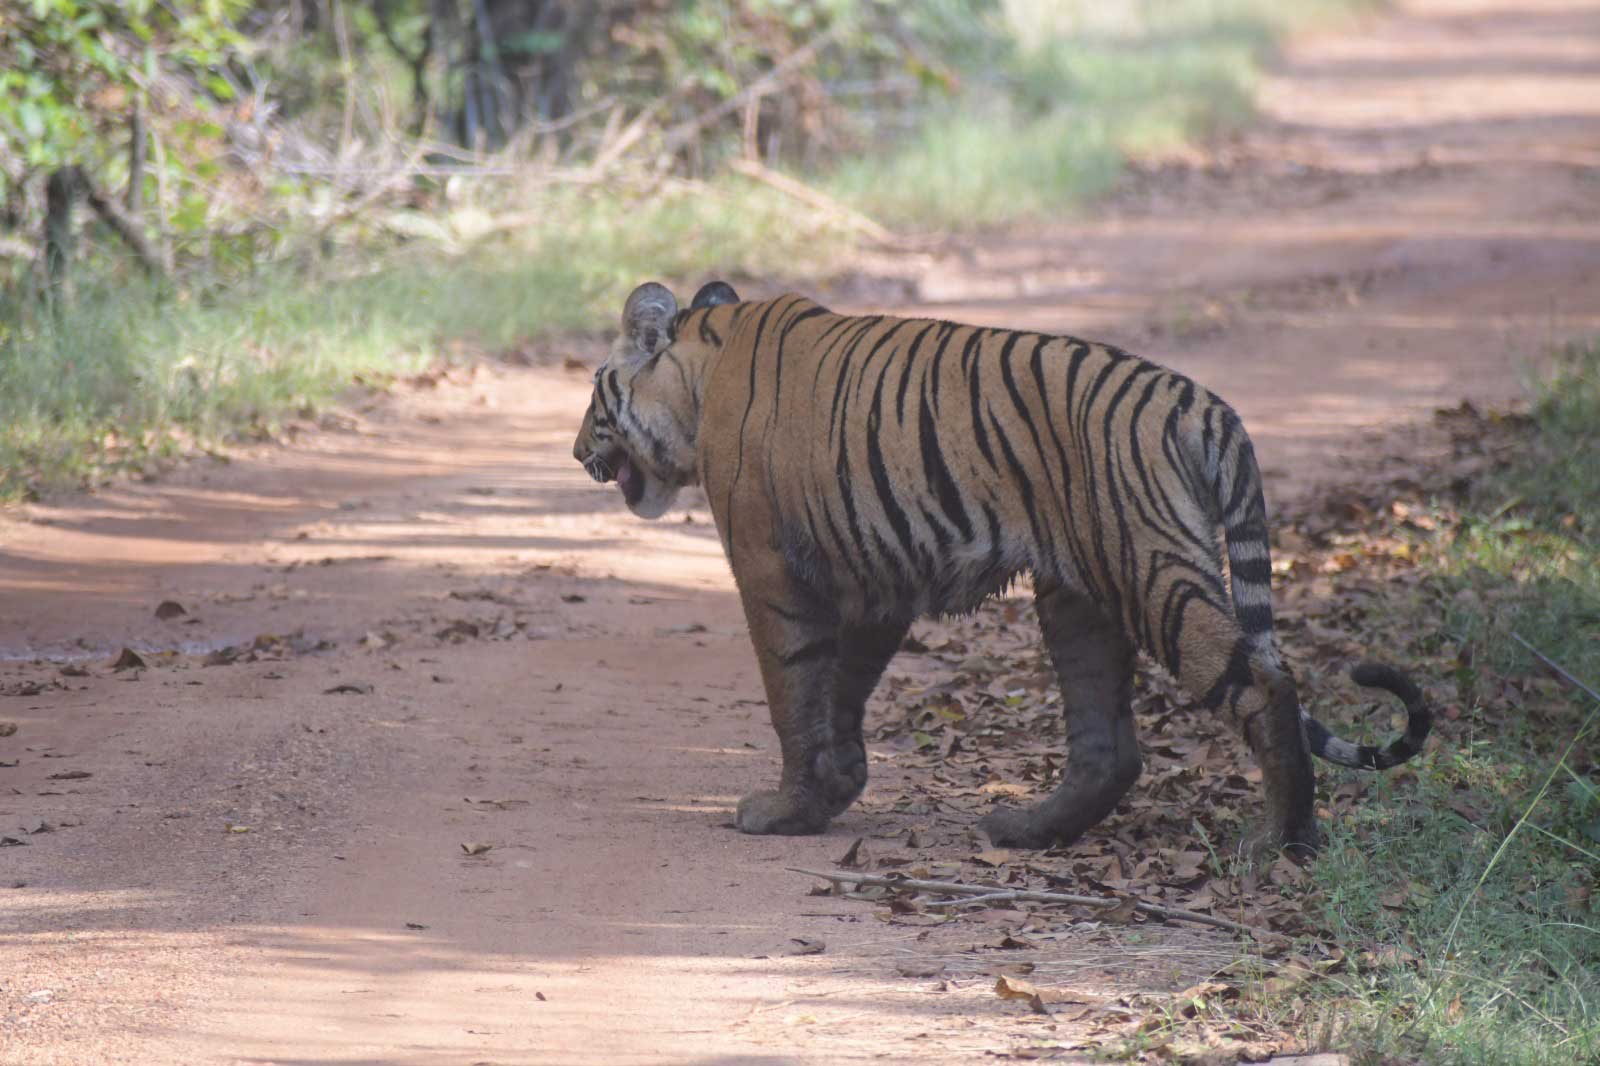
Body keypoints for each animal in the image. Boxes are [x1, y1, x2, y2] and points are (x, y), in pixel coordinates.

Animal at [573, 280, 1431, 854]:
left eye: (592, 393)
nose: (577, 452)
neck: (700, 368)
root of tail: (1206, 405)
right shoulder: (875, 580)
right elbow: (842, 687)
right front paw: (831, 791)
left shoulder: (772, 571)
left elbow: (796, 690)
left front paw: (785, 810)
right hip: (1079, 588)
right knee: (1110, 743)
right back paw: (1026, 828)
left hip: (1149, 568)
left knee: (1263, 684)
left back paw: (1284, 841)